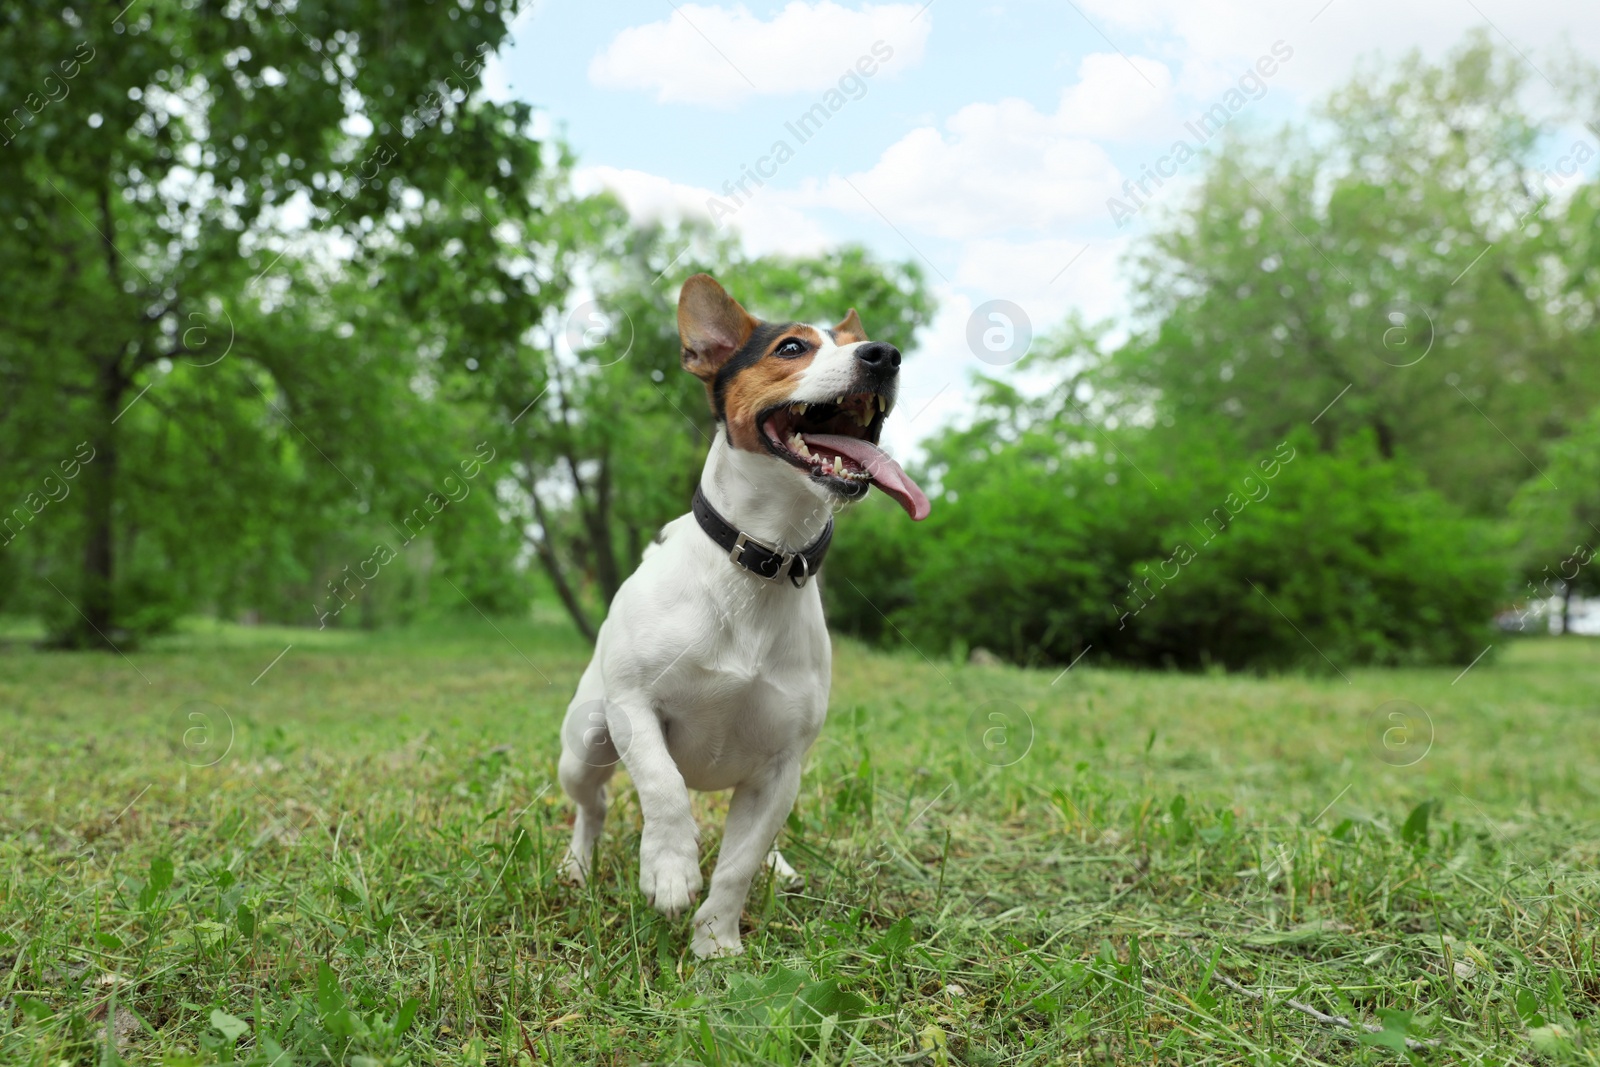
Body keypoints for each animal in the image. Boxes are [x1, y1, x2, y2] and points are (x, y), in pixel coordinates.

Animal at [556, 273, 934, 959]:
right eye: (791, 348)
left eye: (858, 342)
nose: (885, 355)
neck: (764, 563)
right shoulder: (634, 707)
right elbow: (662, 786)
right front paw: (670, 868)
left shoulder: (781, 769)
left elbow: (736, 865)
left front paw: (716, 944)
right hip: (586, 740)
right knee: (593, 806)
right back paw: (579, 865)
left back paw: (776, 868)